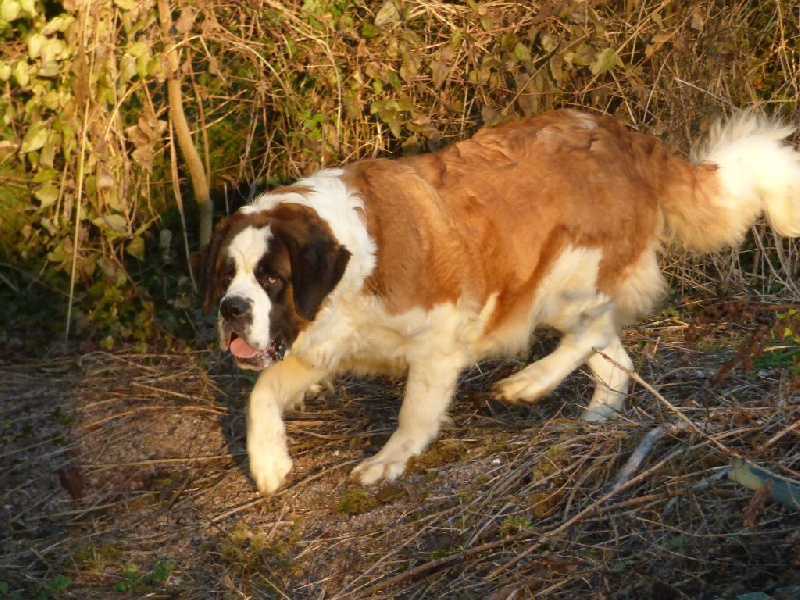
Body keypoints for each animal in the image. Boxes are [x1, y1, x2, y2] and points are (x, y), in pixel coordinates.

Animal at [197, 109, 800, 496]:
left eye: (272, 278)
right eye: (227, 275)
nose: (232, 310)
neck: (355, 262)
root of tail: (623, 136)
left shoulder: (441, 338)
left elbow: (415, 411)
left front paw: (389, 461)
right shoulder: (320, 343)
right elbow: (262, 392)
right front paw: (269, 462)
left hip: (559, 282)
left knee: (593, 327)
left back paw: (528, 383)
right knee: (611, 353)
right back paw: (595, 415)